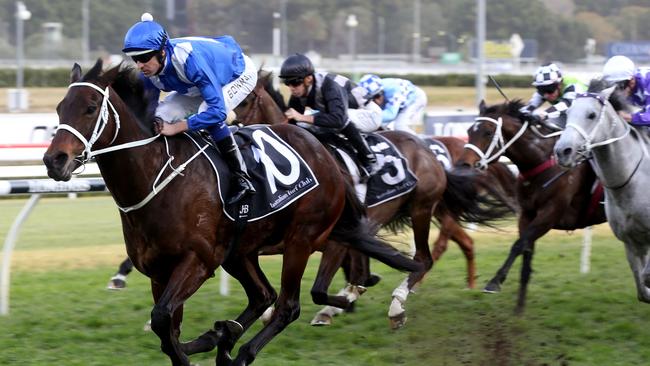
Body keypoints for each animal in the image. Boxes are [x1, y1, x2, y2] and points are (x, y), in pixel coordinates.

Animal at [44, 60, 420, 366]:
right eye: (61, 107)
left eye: (91, 107)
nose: (53, 160)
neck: (158, 177)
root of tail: (325, 154)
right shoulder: (159, 271)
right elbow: (167, 328)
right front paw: (207, 339)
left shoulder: (198, 260)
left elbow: (163, 318)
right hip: (241, 250)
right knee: (263, 296)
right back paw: (223, 336)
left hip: (300, 239)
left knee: (287, 305)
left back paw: (241, 352)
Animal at [233, 73, 512, 328]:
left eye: (245, 101)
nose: (234, 132)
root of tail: (428, 150)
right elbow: (356, 272)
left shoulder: (334, 238)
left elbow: (324, 287)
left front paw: (340, 302)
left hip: (421, 209)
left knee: (424, 258)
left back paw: (398, 304)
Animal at [454, 101, 604, 314]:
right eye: (469, 131)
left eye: (488, 132)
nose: (463, 164)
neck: (542, 161)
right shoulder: (527, 215)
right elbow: (525, 252)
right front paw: (519, 308)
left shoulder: (549, 215)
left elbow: (518, 245)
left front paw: (494, 282)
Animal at [548, 81, 648, 304]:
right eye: (568, 113)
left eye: (591, 114)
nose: (562, 151)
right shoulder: (631, 242)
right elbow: (643, 290)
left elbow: (647, 276)